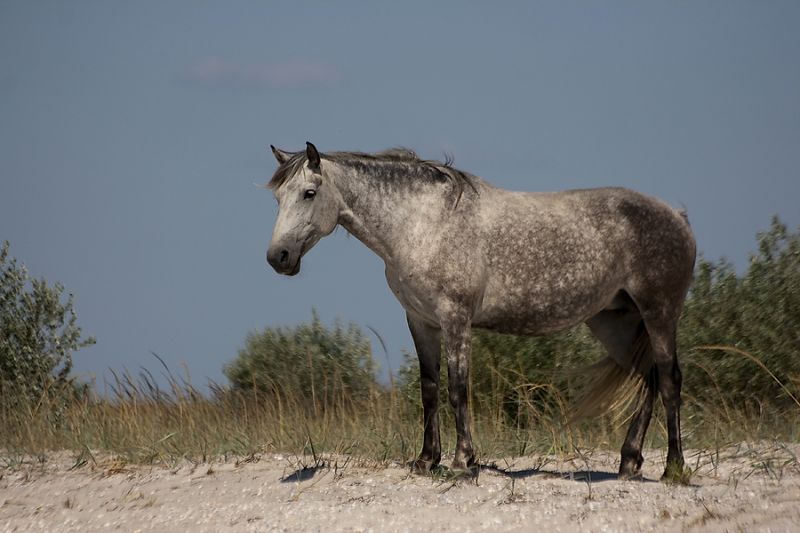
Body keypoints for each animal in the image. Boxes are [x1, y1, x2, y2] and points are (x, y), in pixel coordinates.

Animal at [266, 140, 696, 478]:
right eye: (278, 197)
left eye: (308, 192)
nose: (278, 257)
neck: (422, 224)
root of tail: (677, 216)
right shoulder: (421, 321)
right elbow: (429, 390)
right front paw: (426, 460)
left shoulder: (455, 319)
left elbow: (458, 389)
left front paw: (463, 461)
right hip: (615, 323)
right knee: (648, 379)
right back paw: (629, 461)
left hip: (659, 313)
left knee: (669, 379)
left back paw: (673, 469)